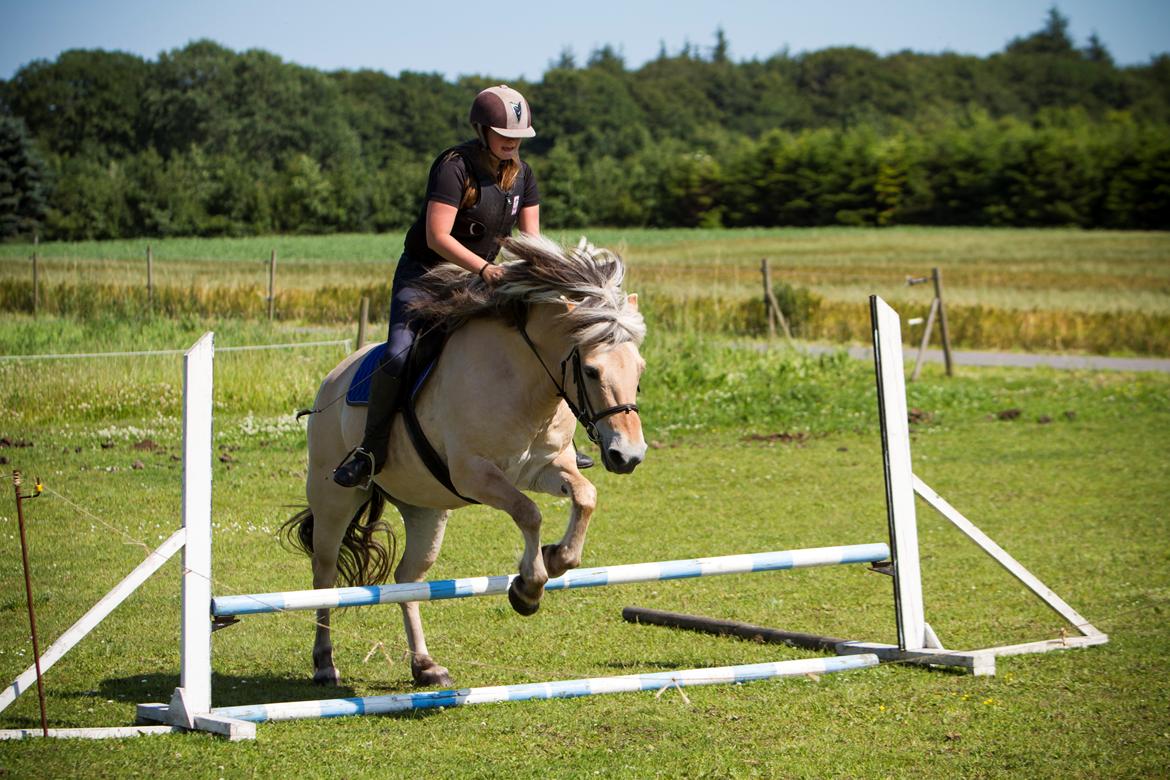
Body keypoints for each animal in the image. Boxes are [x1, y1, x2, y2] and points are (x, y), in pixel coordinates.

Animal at [283, 235, 650, 687]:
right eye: (593, 370)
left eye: (639, 369)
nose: (628, 455)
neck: (524, 381)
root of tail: (333, 380)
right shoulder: (475, 474)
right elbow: (528, 512)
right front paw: (527, 588)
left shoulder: (544, 468)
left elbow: (585, 497)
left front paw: (557, 558)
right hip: (335, 498)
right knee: (325, 573)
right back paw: (324, 663)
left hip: (424, 508)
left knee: (407, 579)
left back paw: (425, 667)